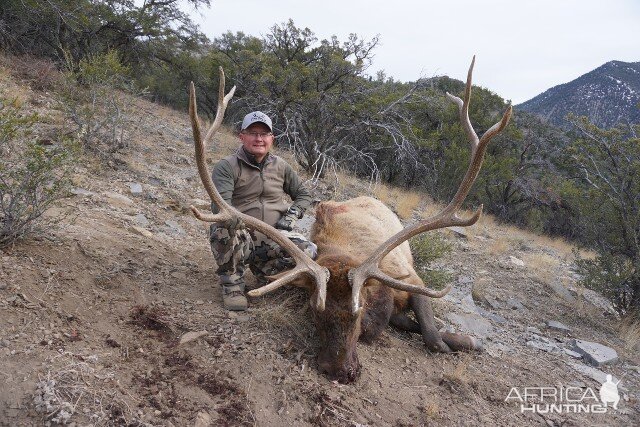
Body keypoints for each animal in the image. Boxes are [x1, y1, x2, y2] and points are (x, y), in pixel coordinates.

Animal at [188, 56, 512, 384]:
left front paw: (468, 341)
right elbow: (408, 325)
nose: (339, 371)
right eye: (314, 310)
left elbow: (433, 338)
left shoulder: (412, 279)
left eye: (358, 311)